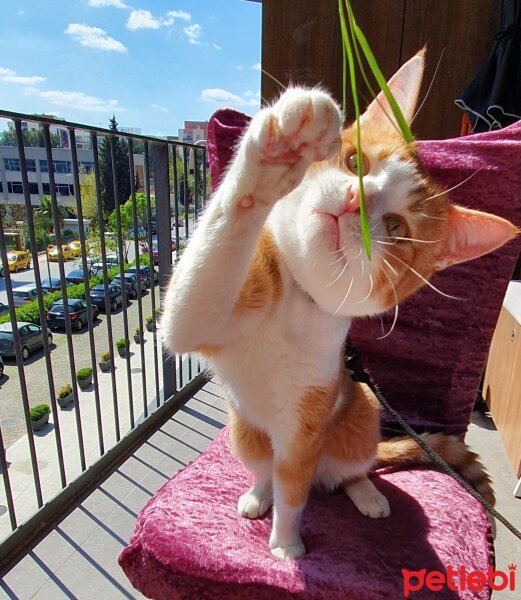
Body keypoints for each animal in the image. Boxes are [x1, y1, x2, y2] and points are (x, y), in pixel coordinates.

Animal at [161, 52, 516, 564]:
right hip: (244, 431)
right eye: (355, 162)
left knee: (347, 469)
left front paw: (286, 542)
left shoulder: (305, 424)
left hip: (360, 406)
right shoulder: (206, 310)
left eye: (396, 226)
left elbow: (294, 488)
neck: (298, 301)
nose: (354, 202)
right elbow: (194, 297)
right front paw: (278, 155)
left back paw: (364, 491)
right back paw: (259, 493)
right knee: (265, 467)